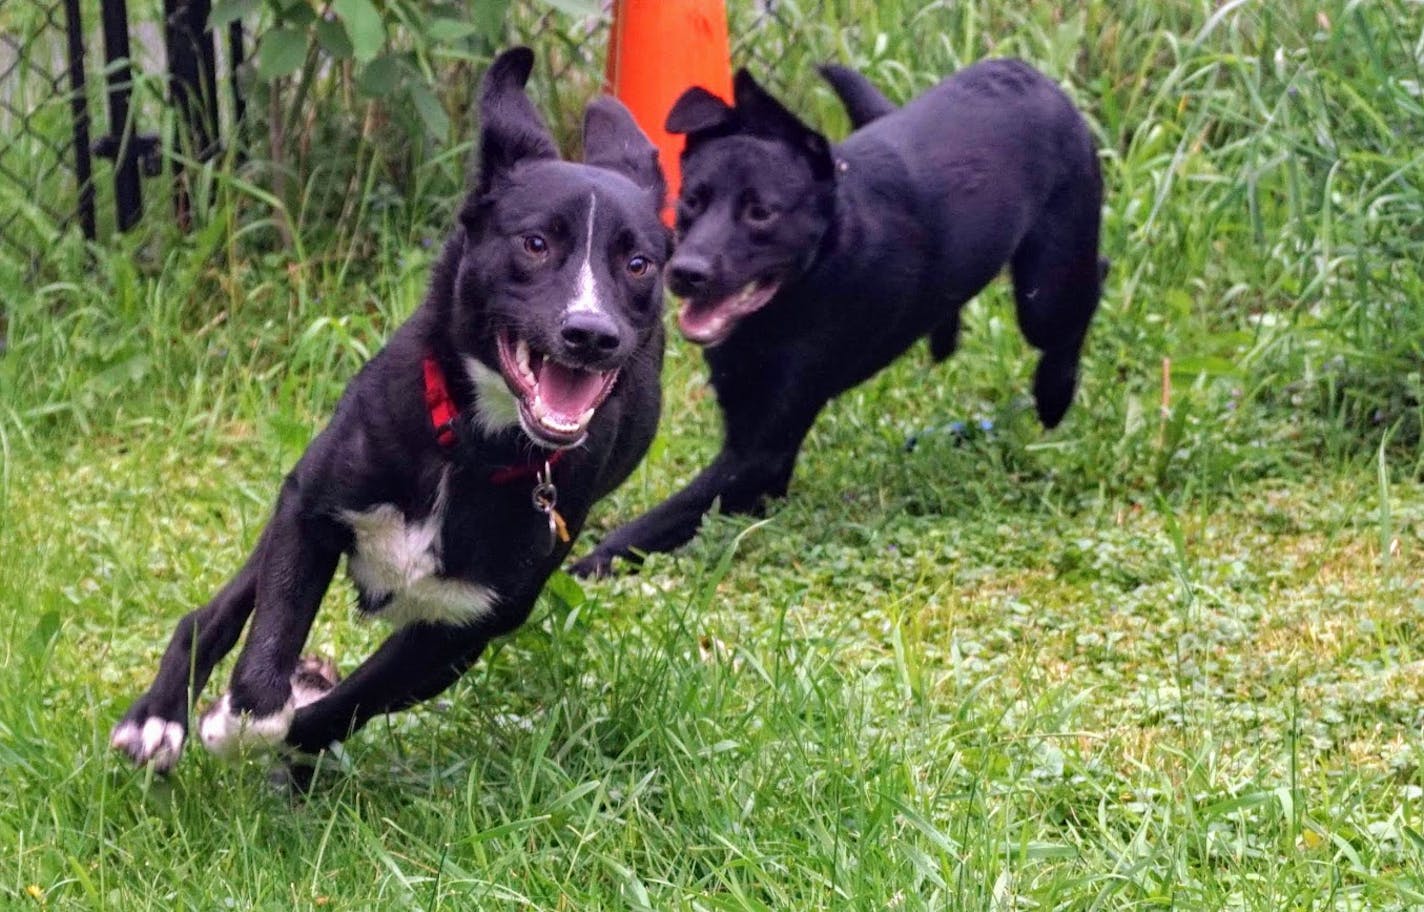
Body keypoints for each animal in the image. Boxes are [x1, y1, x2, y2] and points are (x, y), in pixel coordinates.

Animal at [109, 48, 666, 775]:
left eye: (638, 263)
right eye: (536, 244)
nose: (591, 333)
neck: (472, 446)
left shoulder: (463, 631)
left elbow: (333, 713)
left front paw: (275, 725)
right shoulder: (309, 509)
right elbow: (266, 656)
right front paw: (237, 717)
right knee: (217, 611)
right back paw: (158, 718)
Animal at [572, 58, 1105, 575]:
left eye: (761, 213)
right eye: (691, 201)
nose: (685, 272)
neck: (805, 281)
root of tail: (1030, 75)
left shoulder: (759, 452)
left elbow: (658, 519)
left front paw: (589, 563)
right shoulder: (751, 426)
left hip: (1045, 292)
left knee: (1086, 288)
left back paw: (1054, 393)